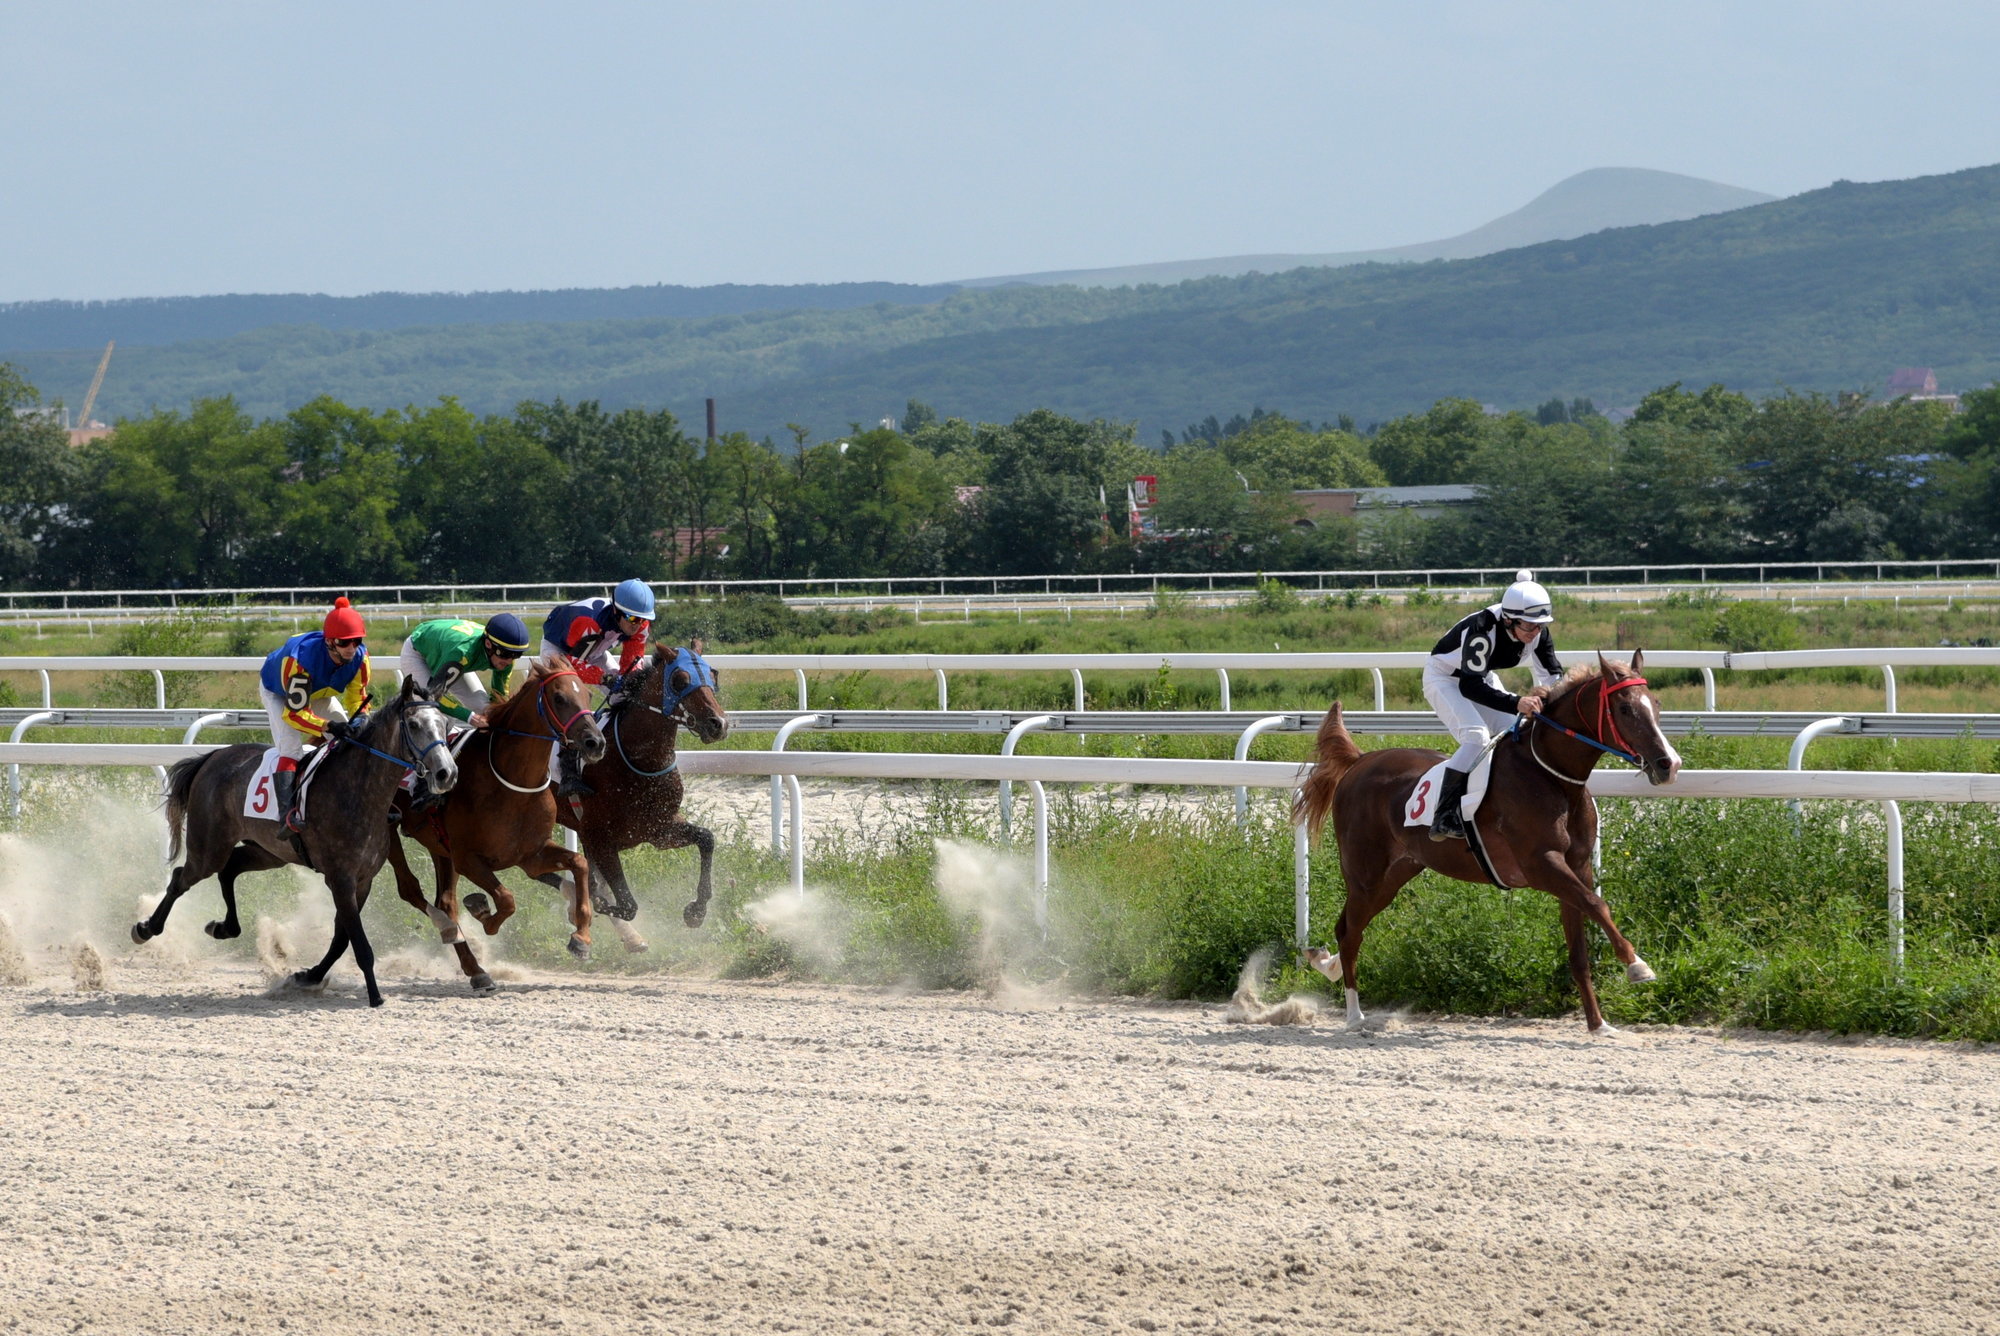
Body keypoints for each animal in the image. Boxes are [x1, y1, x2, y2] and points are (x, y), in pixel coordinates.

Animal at [137, 684, 458, 1008]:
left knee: (229, 869)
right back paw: (146, 928)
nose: (447, 773)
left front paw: (309, 976)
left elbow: (342, 938)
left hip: (267, 851)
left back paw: (224, 927)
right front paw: (375, 995)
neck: (358, 791)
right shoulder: (340, 878)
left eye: (445, 723)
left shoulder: (362, 879)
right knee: (182, 878)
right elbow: (358, 942)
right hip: (209, 847)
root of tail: (212, 757)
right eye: (414, 725)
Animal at [384, 652, 608, 988]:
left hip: (440, 848)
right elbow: (506, 899)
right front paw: (483, 914)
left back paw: (475, 969)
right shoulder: (468, 858)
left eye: (588, 695)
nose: (596, 742)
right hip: (386, 832)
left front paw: (581, 937)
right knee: (412, 891)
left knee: (445, 901)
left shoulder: (531, 855)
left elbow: (579, 863)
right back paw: (457, 939)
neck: (513, 782)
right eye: (559, 698)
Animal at [560, 640, 732, 936]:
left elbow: (707, 838)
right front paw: (590, 905)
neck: (640, 762)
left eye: (713, 674)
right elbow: (625, 905)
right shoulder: (600, 837)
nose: (718, 724)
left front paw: (697, 910)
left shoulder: (658, 829)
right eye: (680, 680)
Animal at [1288, 652, 1680, 1040]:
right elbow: (1599, 905)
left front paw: (1598, 1024)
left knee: (1348, 927)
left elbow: (1580, 947)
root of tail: (1359, 760)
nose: (1669, 764)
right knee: (1350, 932)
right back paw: (1355, 1016)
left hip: (1395, 874)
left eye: (1657, 704)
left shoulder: (1576, 867)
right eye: (1625, 708)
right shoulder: (1542, 865)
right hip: (1364, 874)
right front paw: (1637, 965)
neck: (1550, 776)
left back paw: (1327, 964)